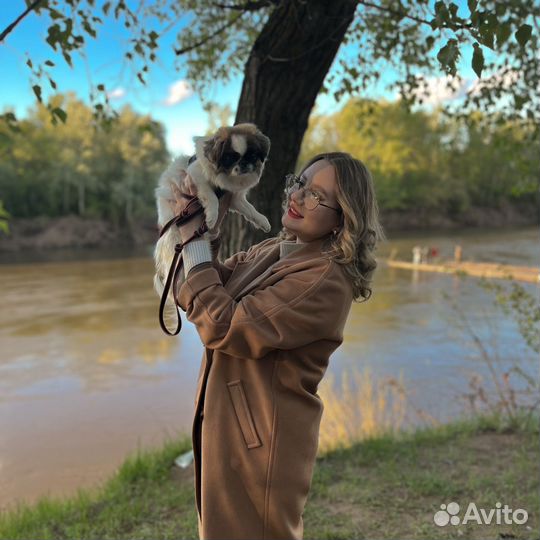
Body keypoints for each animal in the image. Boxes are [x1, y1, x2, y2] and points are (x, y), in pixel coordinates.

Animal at [152, 122, 270, 298]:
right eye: (229, 158)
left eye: (252, 155)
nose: (243, 164)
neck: (226, 178)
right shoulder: (197, 177)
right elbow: (211, 197)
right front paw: (212, 217)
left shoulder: (235, 198)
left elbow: (250, 209)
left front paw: (262, 221)